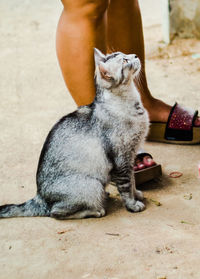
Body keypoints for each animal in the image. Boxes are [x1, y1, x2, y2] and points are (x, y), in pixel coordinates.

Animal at [0, 48, 149, 221]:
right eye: (125, 61)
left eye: (125, 54)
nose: (135, 56)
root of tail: (40, 197)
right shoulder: (121, 160)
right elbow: (126, 186)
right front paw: (132, 204)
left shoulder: (130, 157)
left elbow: (133, 180)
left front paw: (136, 194)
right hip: (92, 186)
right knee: (56, 213)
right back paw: (95, 211)